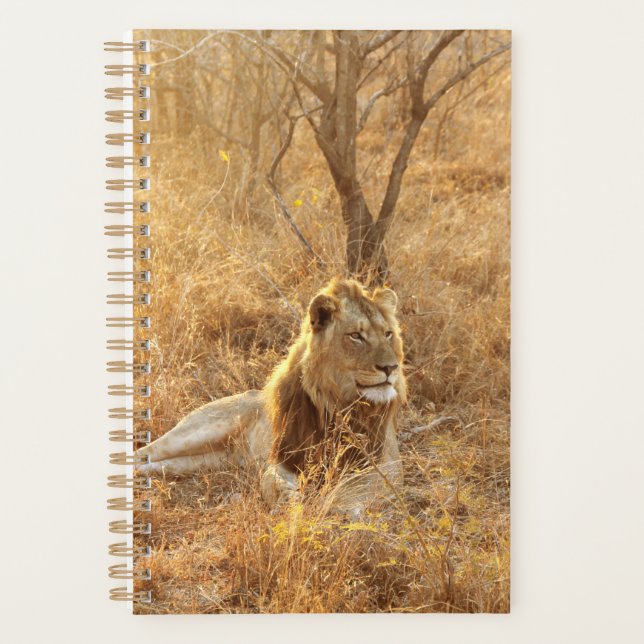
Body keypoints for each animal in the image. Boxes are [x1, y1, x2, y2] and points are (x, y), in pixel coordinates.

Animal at [137, 278, 406, 513]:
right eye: (356, 336)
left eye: (388, 334)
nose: (391, 368)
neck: (337, 402)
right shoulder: (283, 457)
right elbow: (270, 479)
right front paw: (289, 501)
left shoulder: (387, 462)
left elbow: (355, 486)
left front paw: (334, 505)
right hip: (196, 432)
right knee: (143, 451)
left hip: (209, 460)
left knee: (157, 465)